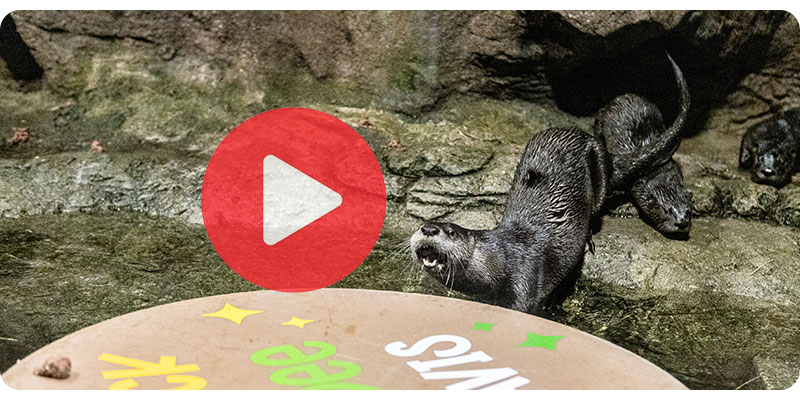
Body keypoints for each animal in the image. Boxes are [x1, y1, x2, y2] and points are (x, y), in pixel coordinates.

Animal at [409, 127, 608, 314]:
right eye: (421, 225)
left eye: (451, 232)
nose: (428, 229)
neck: (501, 260)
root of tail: (574, 131)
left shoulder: (524, 278)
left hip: (598, 158)